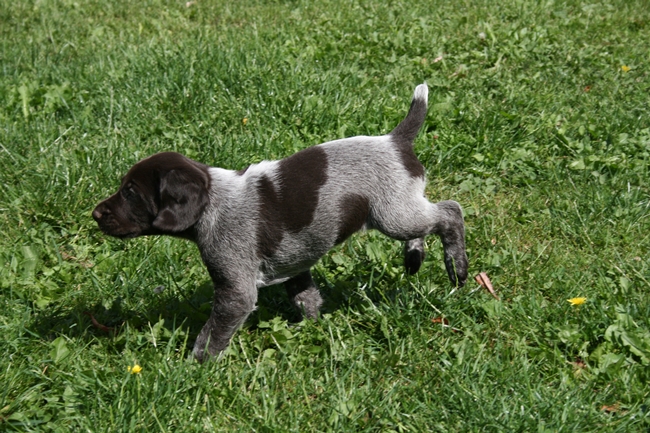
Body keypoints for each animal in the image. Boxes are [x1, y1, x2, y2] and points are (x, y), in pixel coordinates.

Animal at [92, 83, 468, 361]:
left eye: (130, 192)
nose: (95, 214)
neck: (215, 202)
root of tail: (395, 140)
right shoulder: (296, 267)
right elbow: (308, 300)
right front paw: (312, 332)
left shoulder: (236, 290)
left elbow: (212, 334)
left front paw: (194, 368)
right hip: (404, 208)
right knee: (426, 224)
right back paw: (414, 257)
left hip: (395, 215)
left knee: (450, 212)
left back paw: (457, 266)